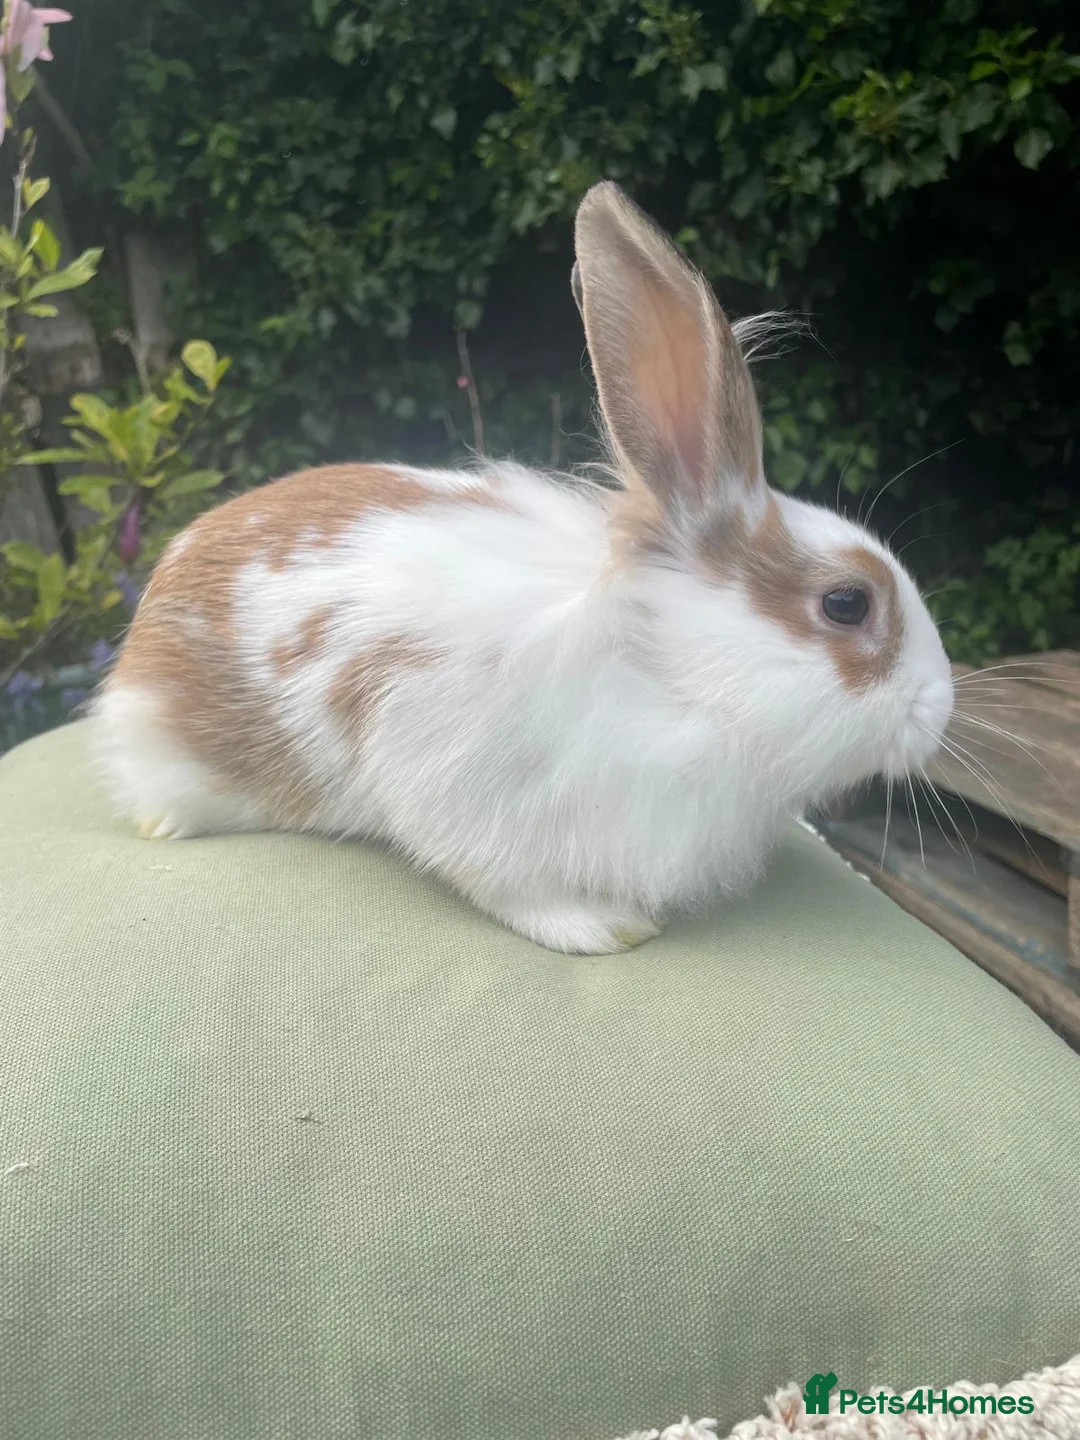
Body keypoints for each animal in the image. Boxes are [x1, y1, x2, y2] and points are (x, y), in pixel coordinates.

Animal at [90, 181, 954, 955]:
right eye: (847, 604)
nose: (942, 707)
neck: (667, 676)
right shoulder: (448, 776)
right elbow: (508, 885)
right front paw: (604, 929)